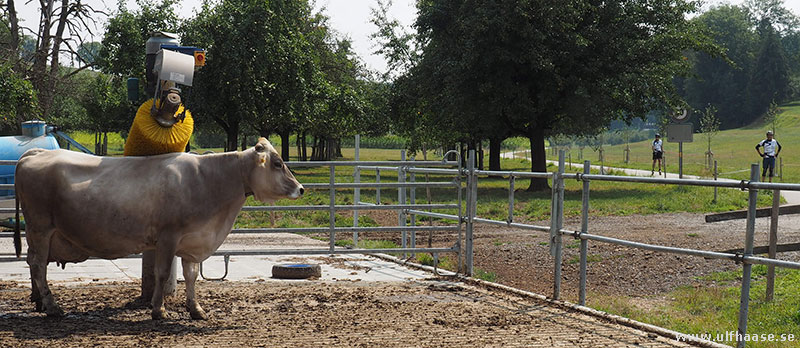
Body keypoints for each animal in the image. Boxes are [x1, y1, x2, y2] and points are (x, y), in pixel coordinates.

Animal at [15, 137, 304, 320]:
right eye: (278, 163)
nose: (301, 189)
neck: (209, 180)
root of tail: (36, 152)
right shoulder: (168, 237)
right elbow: (162, 273)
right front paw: (159, 310)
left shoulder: (192, 239)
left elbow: (191, 275)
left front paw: (196, 309)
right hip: (40, 228)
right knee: (38, 265)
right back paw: (52, 306)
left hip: (38, 233)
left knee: (33, 262)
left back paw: (38, 301)